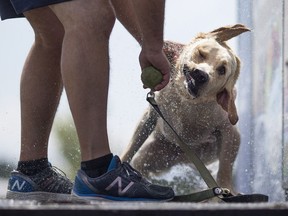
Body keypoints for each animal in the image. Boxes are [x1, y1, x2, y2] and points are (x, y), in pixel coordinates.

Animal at [121, 24, 250, 193]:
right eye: (201, 54)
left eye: (222, 69)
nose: (201, 75)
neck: (186, 102)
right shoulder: (150, 115)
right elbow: (131, 147)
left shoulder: (230, 131)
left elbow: (225, 168)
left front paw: (226, 188)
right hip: (156, 154)